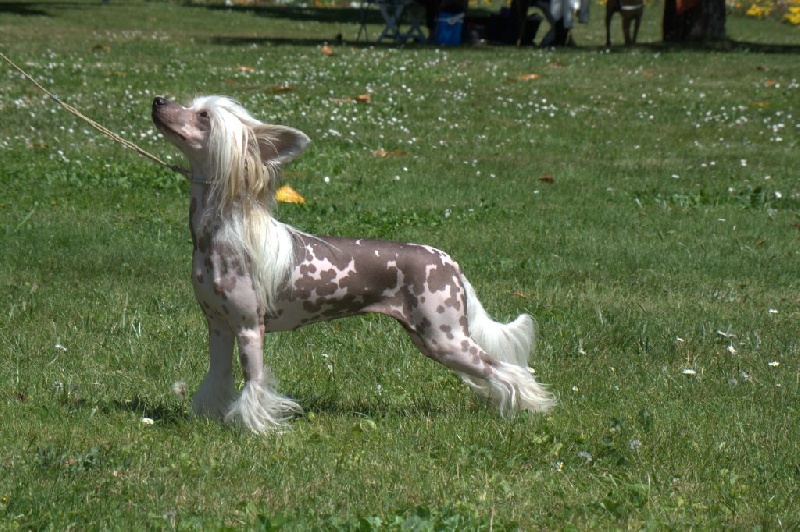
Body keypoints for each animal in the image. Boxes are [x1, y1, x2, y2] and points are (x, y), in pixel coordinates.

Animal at [152, 95, 556, 432]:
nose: (158, 100)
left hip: (445, 338)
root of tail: (448, 260)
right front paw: (211, 417)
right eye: (188, 103)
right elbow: (217, 377)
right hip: (431, 338)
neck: (220, 233)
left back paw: (530, 408)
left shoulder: (250, 328)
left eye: (203, 116)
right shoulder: (219, 326)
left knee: (508, 370)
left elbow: (254, 381)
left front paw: (254, 428)